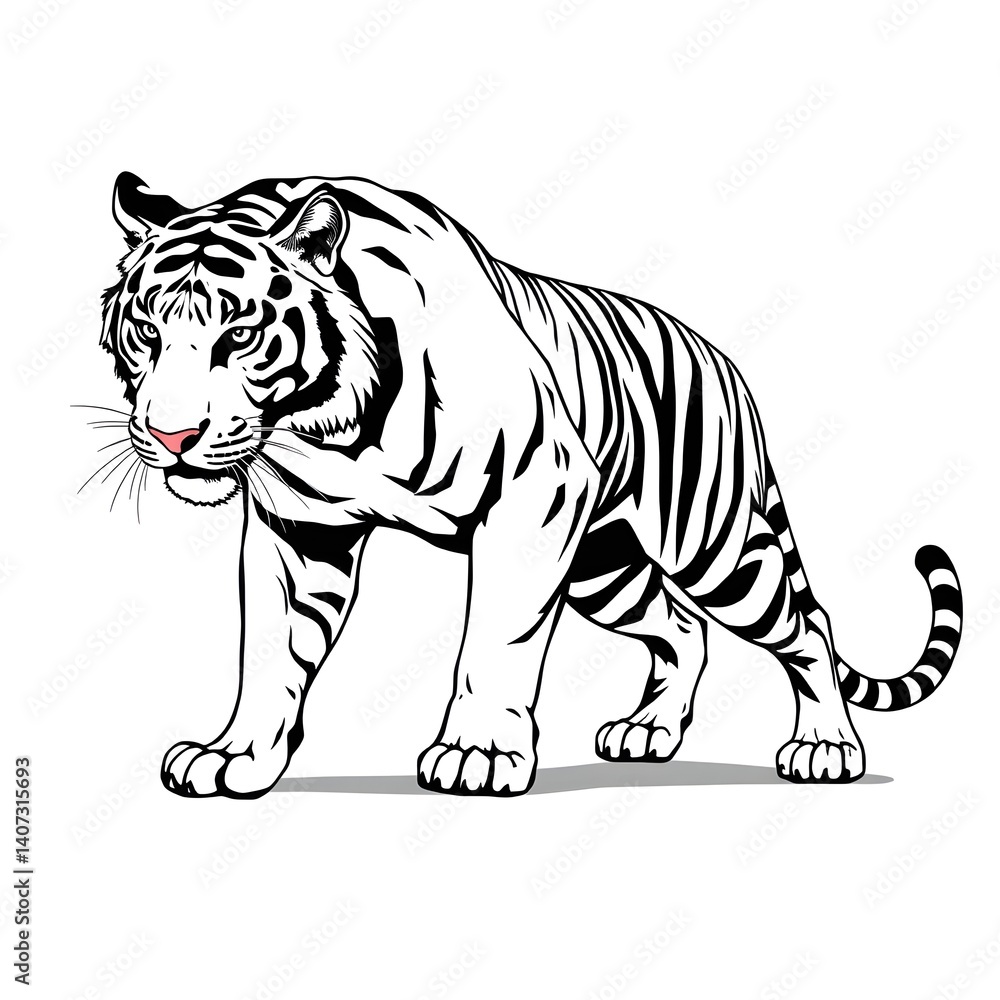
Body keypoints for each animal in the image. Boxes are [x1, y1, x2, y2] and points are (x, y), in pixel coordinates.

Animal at [98, 171, 963, 798]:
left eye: (239, 336)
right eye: (146, 331)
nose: (172, 438)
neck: (326, 428)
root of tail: (725, 363)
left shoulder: (534, 497)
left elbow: (495, 641)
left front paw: (476, 753)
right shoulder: (301, 529)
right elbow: (271, 651)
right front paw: (235, 756)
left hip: (709, 546)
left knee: (805, 625)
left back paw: (824, 747)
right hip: (604, 566)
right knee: (683, 630)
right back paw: (648, 731)